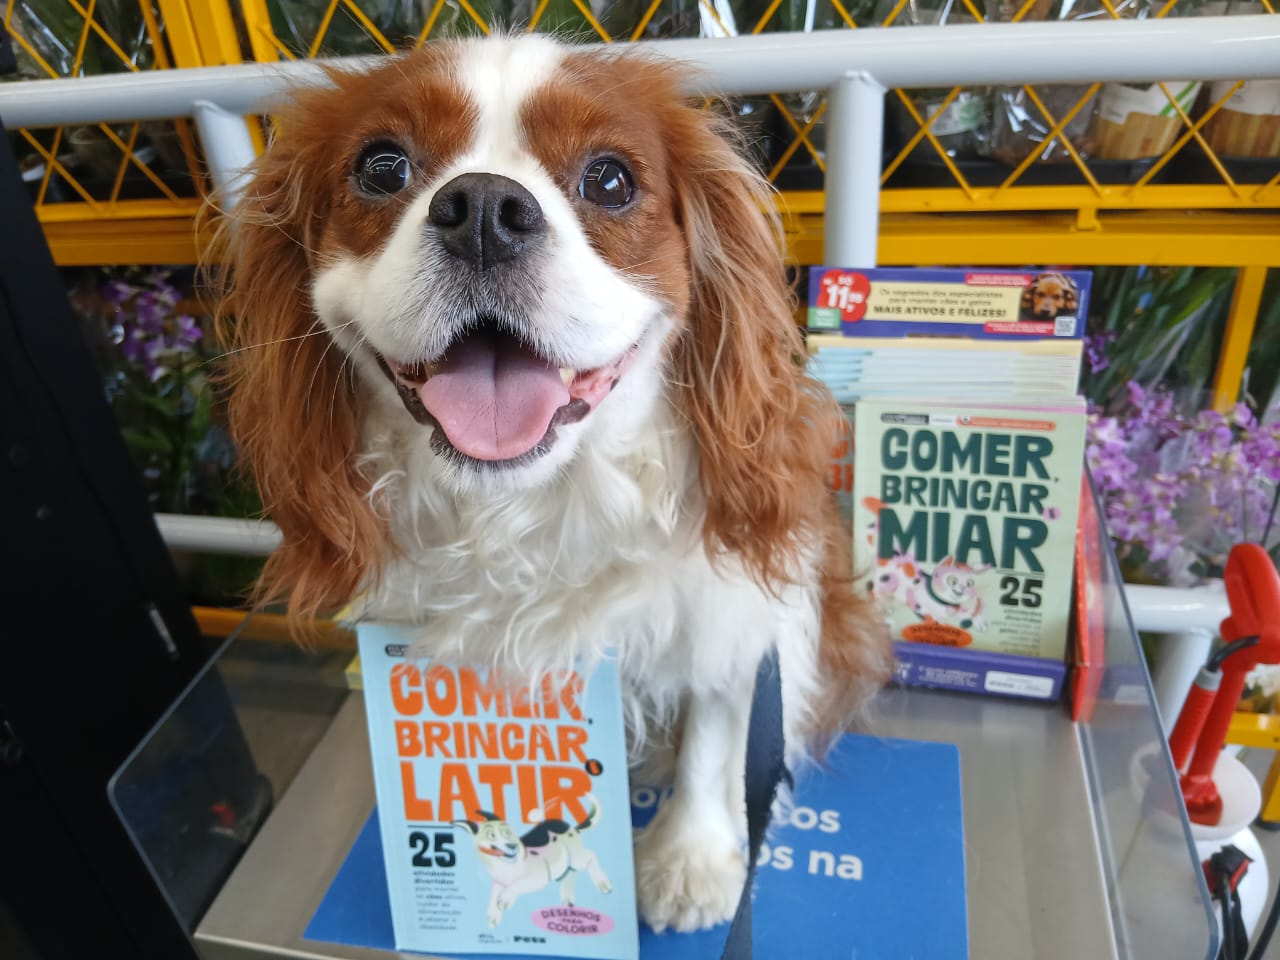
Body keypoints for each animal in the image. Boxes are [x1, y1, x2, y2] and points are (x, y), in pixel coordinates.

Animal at [455, 800, 611, 926]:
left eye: (508, 832)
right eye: (491, 835)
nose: (513, 846)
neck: (505, 864)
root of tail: (569, 826)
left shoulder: (538, 878)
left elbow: (516, 884)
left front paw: (505, 899)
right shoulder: (498, 883)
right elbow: (494, 896)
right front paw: (494, 916)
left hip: (577, 857)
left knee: (591, 855)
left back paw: (603, 884)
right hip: (565, 864)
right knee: (569, 873)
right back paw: (567, 899)